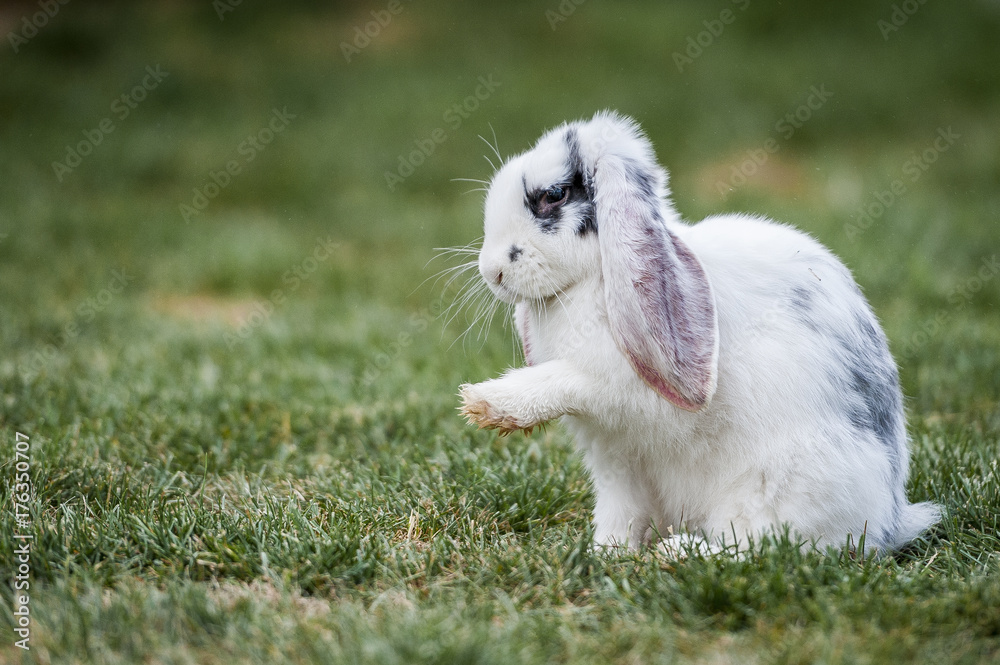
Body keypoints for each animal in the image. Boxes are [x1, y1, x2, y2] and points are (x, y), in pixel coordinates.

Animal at [458, 111, 940, 555]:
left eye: (553, 196)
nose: (492, 270)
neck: (594, 278)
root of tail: (886, 520)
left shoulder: (622, 388)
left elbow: (565, 378)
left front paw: (486, 404)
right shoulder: (616, 461)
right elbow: (620, 514)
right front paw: (605, 554)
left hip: (771, 489)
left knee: (757, 549)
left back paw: (676, 552)